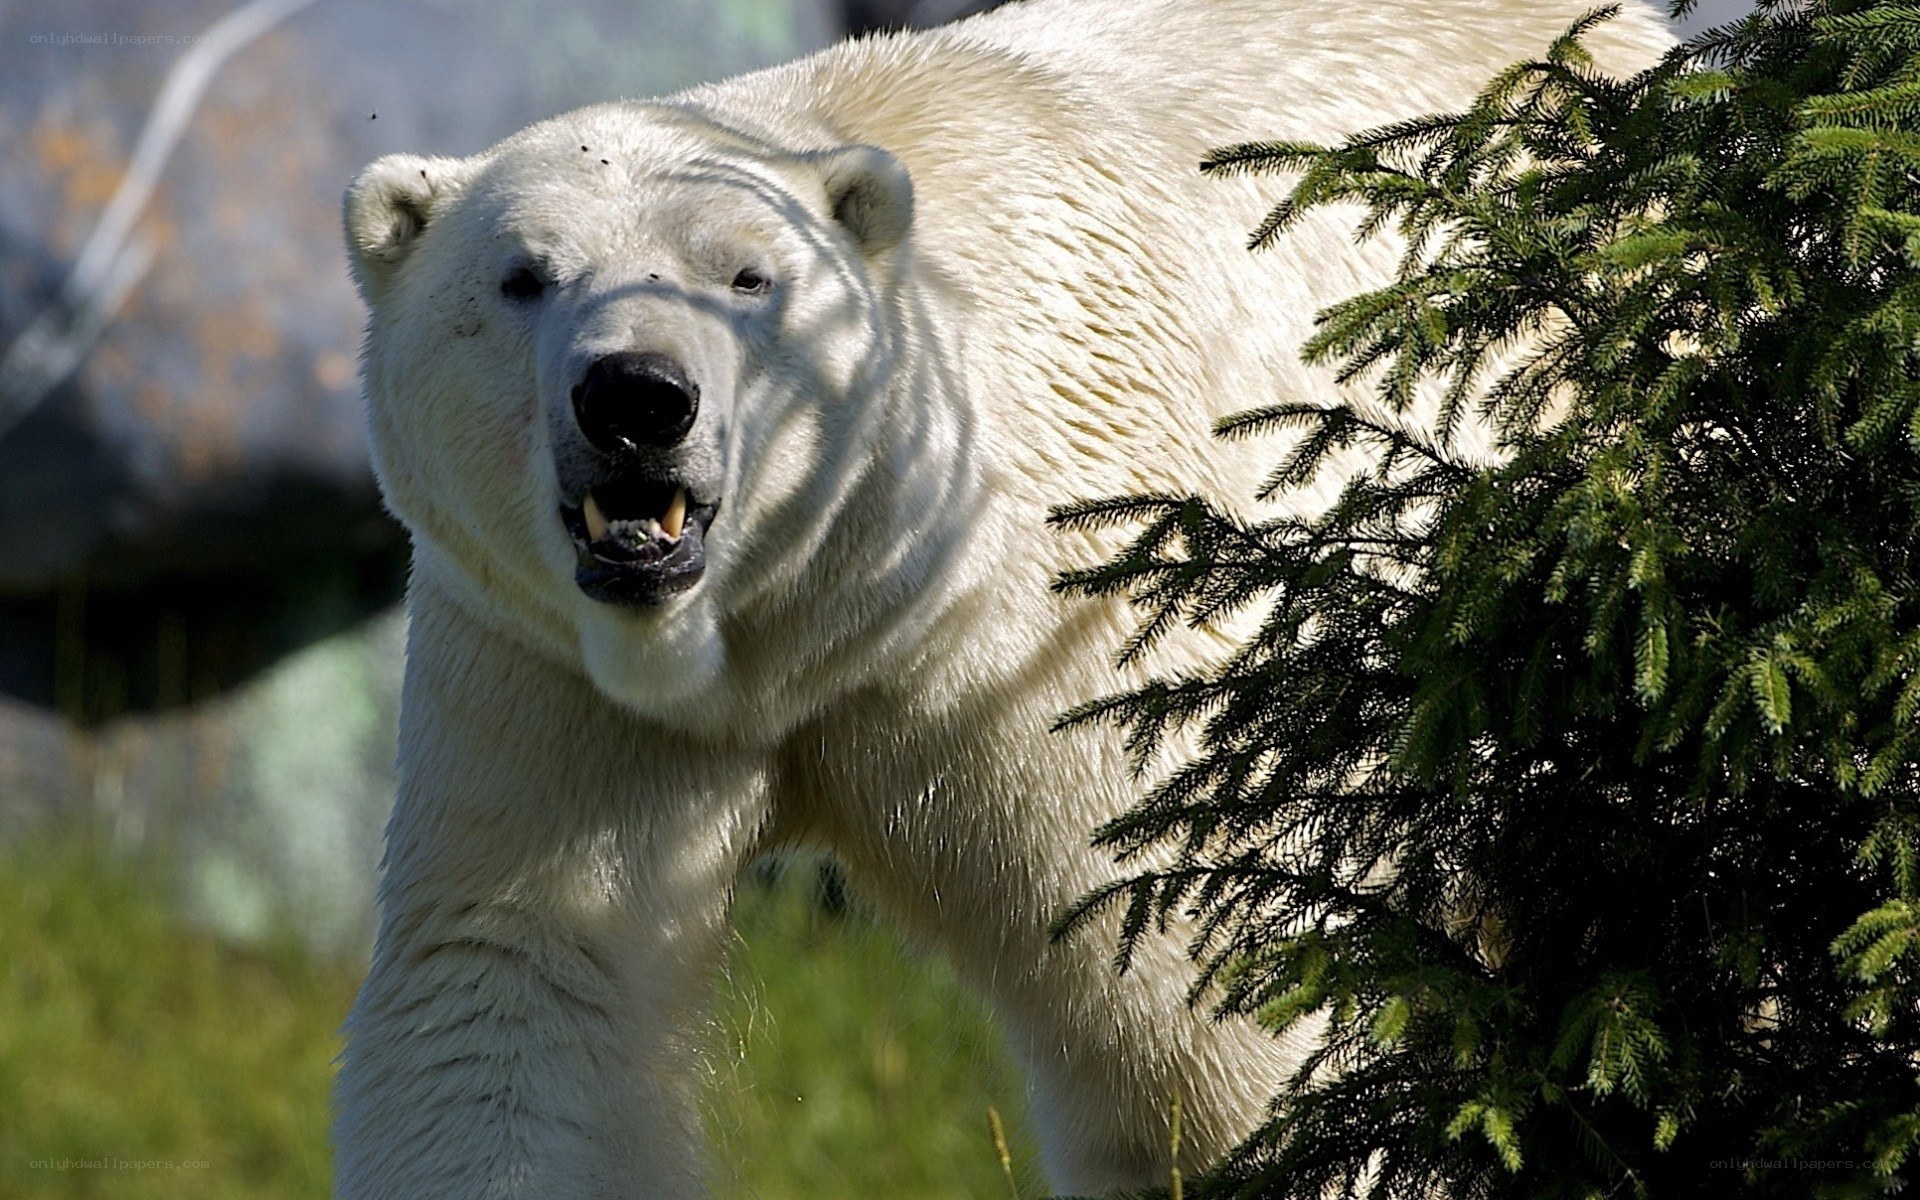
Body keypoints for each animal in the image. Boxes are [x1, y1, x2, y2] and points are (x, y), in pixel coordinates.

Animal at [333, 1, 1673, 1196]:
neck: (799, 623)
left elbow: (1201, 989)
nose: (636, 397)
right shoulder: (554, 668)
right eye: (523, 277)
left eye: (750, 277)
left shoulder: (1049, 628)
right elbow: (515, 990)